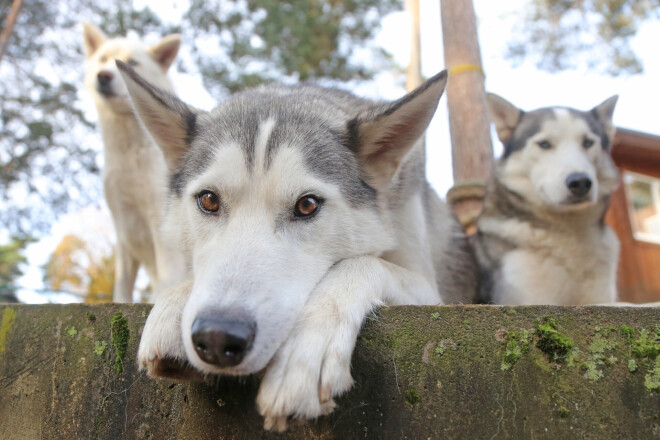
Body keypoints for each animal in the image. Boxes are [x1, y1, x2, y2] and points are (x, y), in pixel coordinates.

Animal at [83, 23, 186, 302]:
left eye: (133, 63)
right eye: (103, 59)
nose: (104, 76)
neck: (129, 153)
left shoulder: (159, 222)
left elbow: (168, 275)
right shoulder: (123, 226)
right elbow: (122, 285)